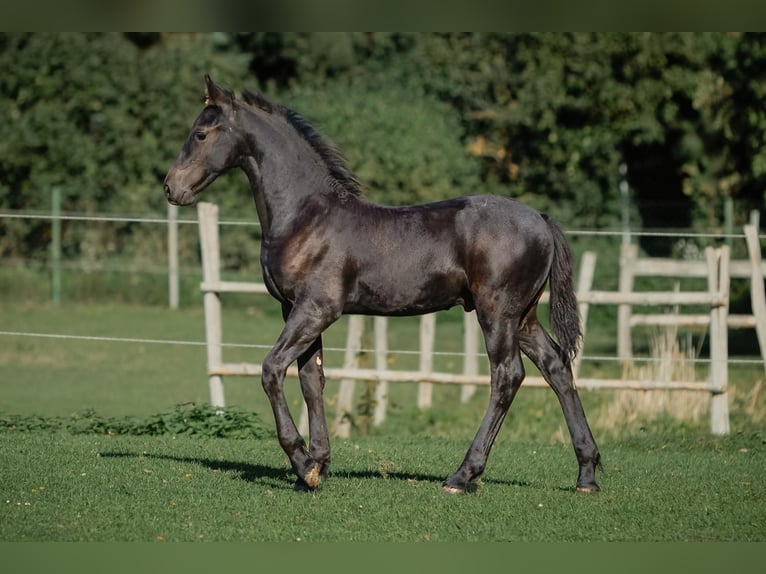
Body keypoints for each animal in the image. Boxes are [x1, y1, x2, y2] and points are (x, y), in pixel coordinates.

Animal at [164, 75, 601, 494]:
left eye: (201, 134)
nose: (171, 187)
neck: (307, 216)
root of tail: (541, 219)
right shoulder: (297, 310)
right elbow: (312, 380)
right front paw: (317, 465)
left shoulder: (316, 309)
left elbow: (272, 369)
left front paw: (303, 464)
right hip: (523, 318)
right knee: (556, 366)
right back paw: (586, 474)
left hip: (497, 313)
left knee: (507, 377)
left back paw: (462, 475)